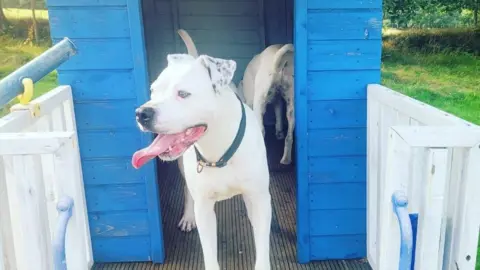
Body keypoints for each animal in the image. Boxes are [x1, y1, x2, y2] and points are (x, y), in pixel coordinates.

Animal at [131, 29, 272, 270]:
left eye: (183, 94)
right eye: (153, 90)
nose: (142, 113)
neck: (219, 149)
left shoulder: (261, 199)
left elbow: (262, 249)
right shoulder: (205, 209)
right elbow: (209, 254)